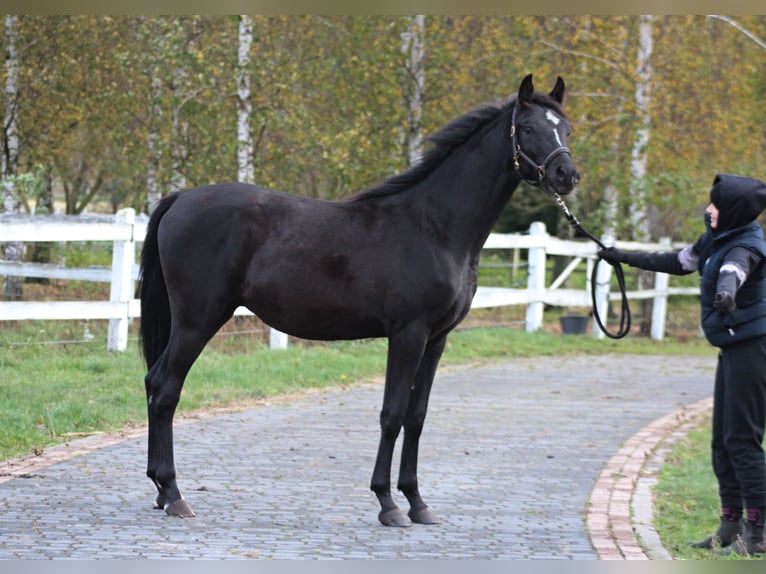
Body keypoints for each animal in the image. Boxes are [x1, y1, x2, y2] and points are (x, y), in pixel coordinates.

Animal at [139, 74, 580, 527]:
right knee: (166, 388)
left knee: (154, 384)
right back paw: (174, 494)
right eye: (527, 128)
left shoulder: (436, 340)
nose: (567, 174)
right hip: (198, 319)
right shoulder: (408, 335)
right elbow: (392, 414)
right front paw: (388, 503)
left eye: (566, 129)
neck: (433, 227)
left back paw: (161, 490)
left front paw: (417, 501)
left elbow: (417, 417)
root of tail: (181, 198)